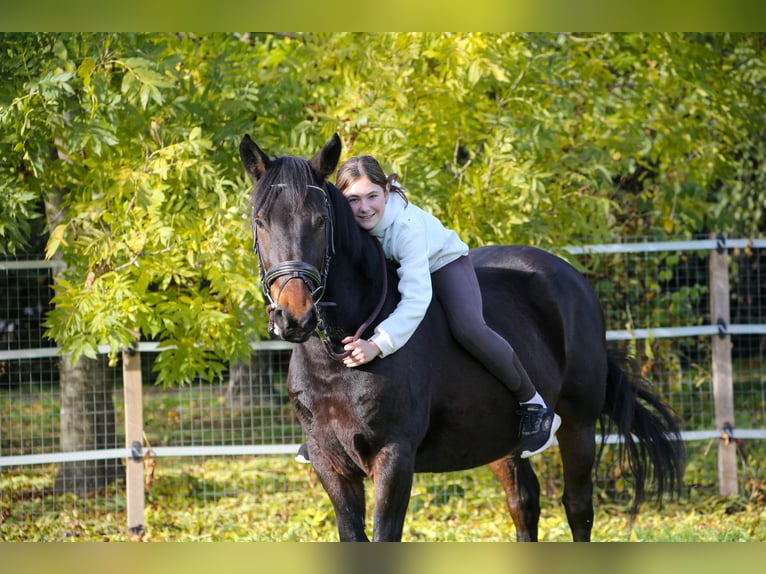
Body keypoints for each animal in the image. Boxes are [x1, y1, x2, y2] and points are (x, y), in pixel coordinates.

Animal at [238, 133, 684, 544]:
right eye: (260, 221)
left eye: (320, 220)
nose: (294, 316)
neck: (336, 358)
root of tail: (573, 280)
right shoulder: (329, 463)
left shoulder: (394, 458)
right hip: (501, 441)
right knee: (524, 504)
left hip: (579, 422)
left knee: (577, 508)